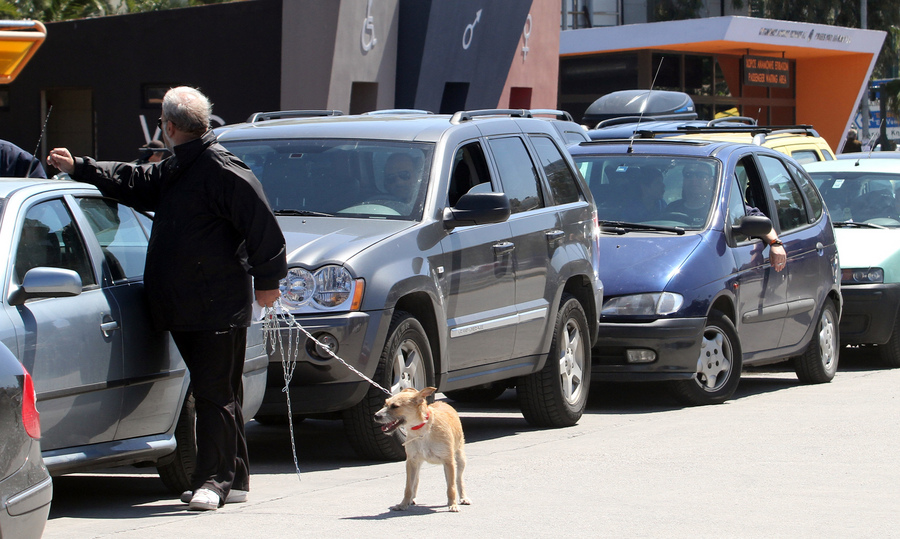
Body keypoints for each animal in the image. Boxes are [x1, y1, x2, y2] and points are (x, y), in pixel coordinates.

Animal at [372, 388, 472, 516]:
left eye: (395, 406)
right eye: (385, 404)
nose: (376, 416)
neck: (422, 430)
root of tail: (443, 403)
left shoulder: (448, 462)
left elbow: (451, 486)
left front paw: (453, 504)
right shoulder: (411, 462)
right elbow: (408, 487)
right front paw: (403, 504)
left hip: (460, 458)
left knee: (459, 479)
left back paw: (463, 498)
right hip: (418, 464)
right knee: (416, 480)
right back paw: (412, 499)